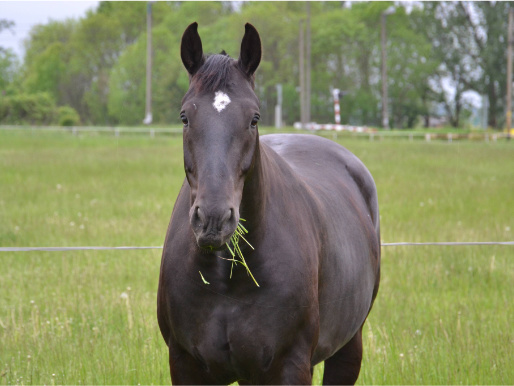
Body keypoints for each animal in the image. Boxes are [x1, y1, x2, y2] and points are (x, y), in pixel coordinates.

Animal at [157, 22, 380, 384]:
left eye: (254, 118)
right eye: (184, 117)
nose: (214, 219)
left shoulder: (289, 366)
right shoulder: (185, 365)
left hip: (348, 347)